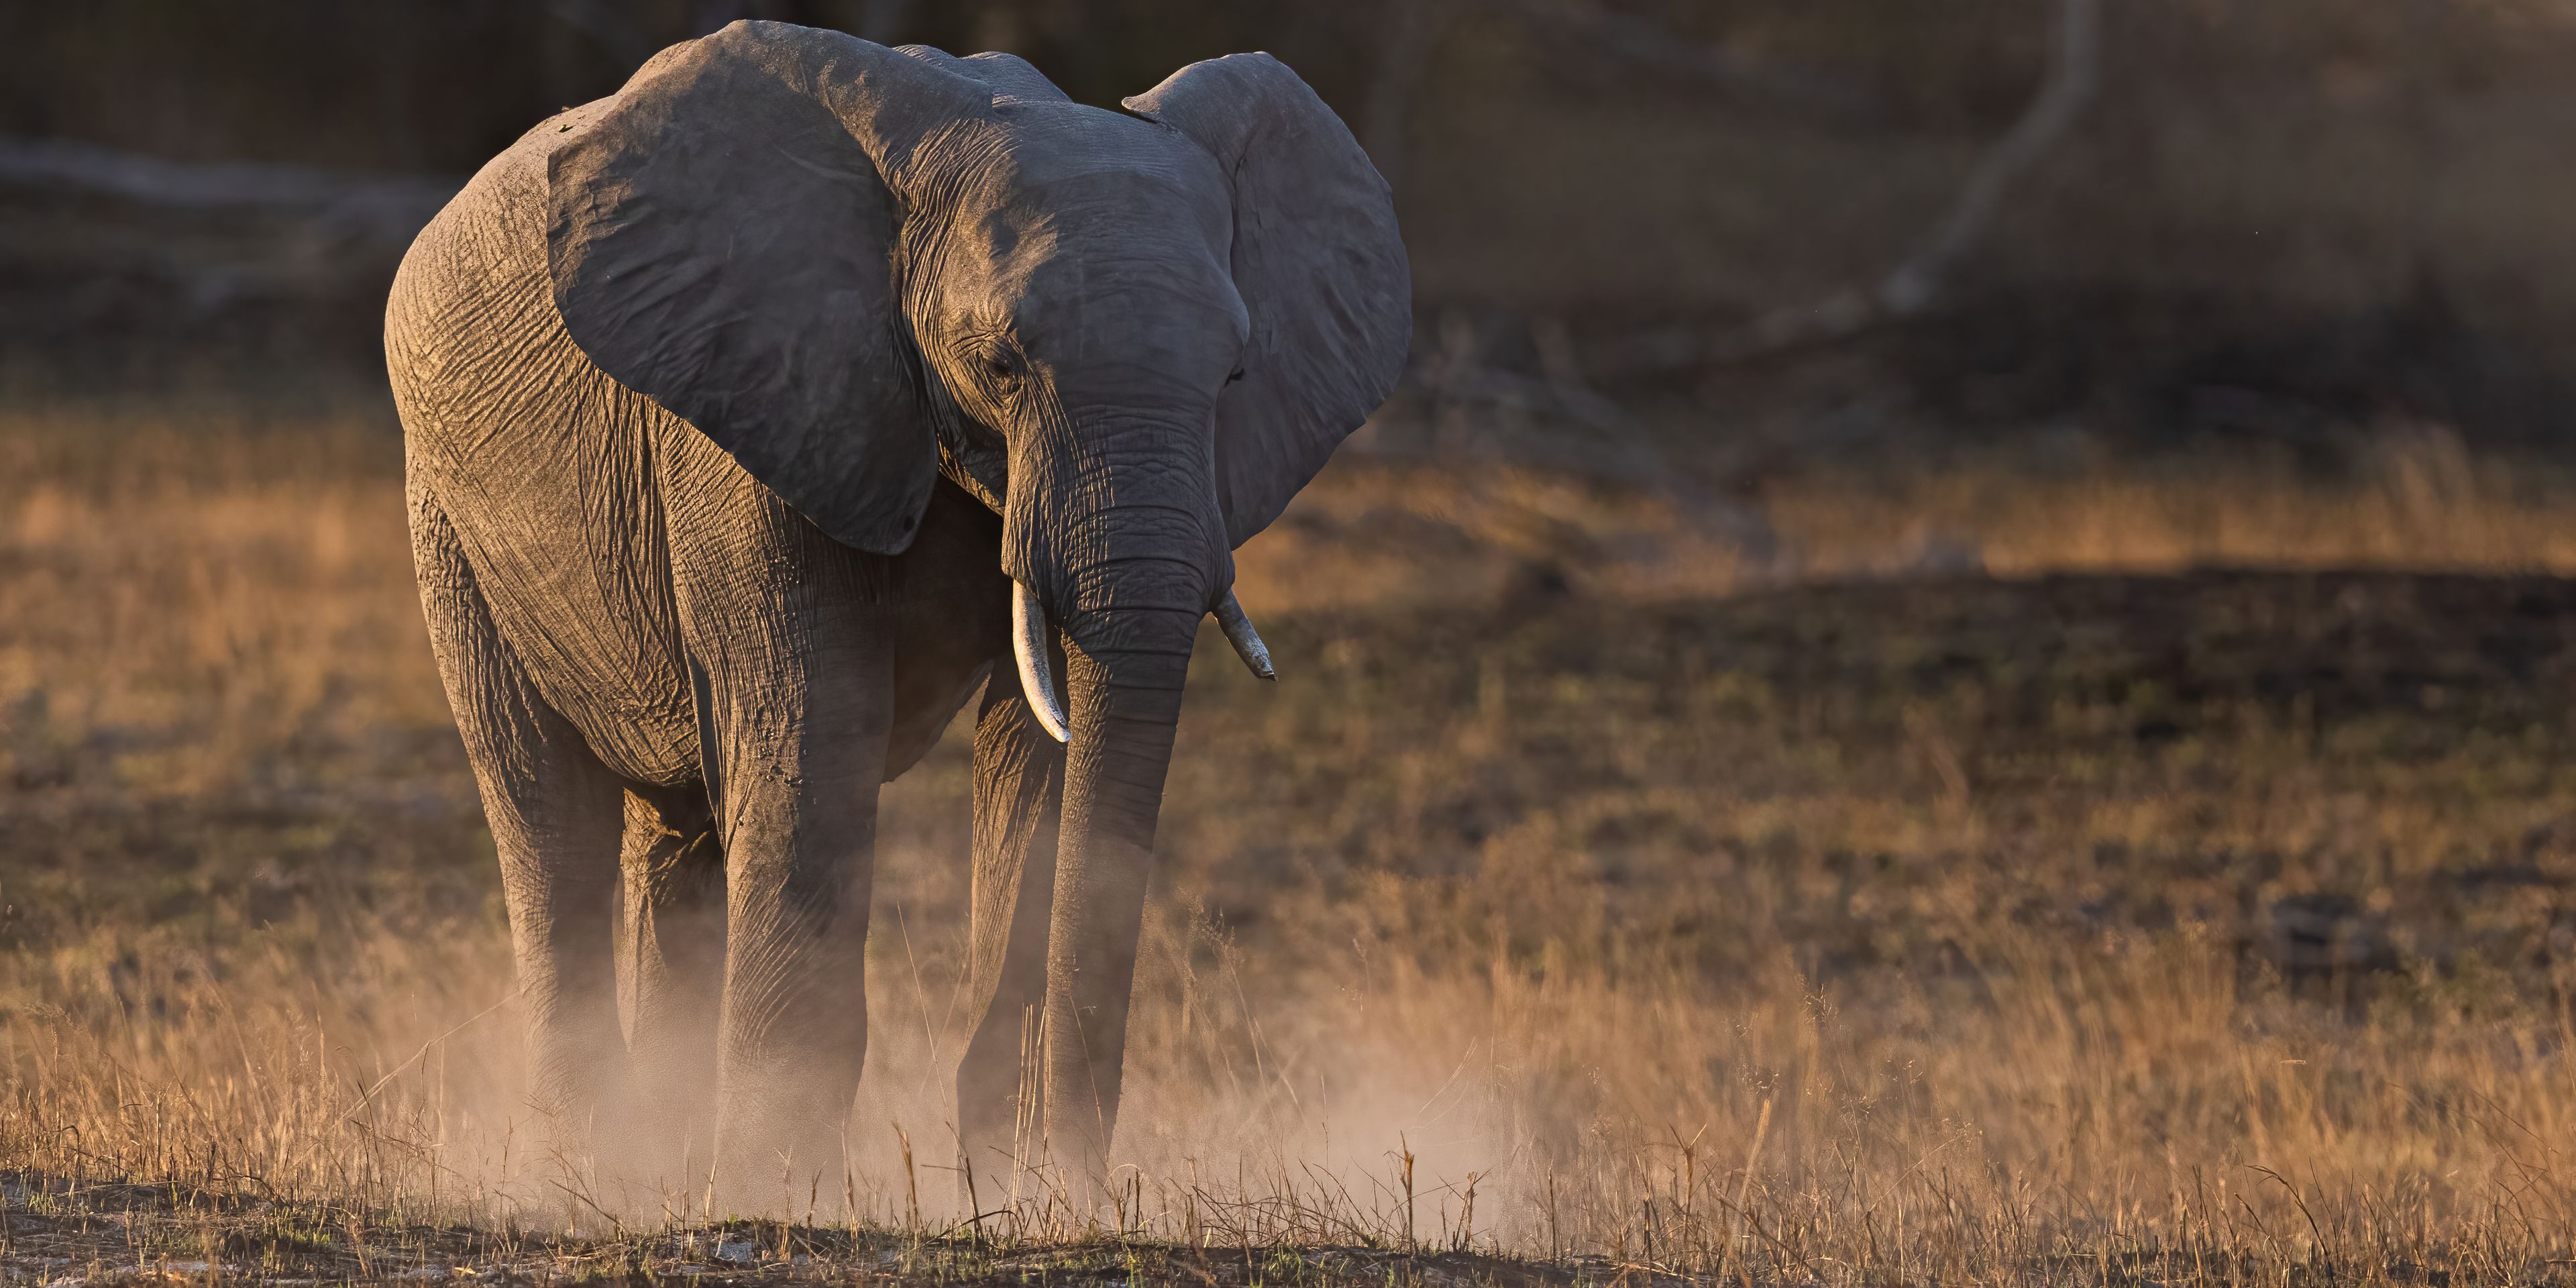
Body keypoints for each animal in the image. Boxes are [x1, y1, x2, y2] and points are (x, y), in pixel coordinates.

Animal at [383, 20, 1407, 1211]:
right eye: (1001, 362)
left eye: (1237, 373)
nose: (1083, 1193)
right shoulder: (758, 404)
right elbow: (810, 739)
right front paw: (775, 1194)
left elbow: (1041, 759)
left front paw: (1004, 1197)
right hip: (448, 515)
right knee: (546, 813)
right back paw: (583, 1177)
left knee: (676, 830)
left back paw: (653, 1162)